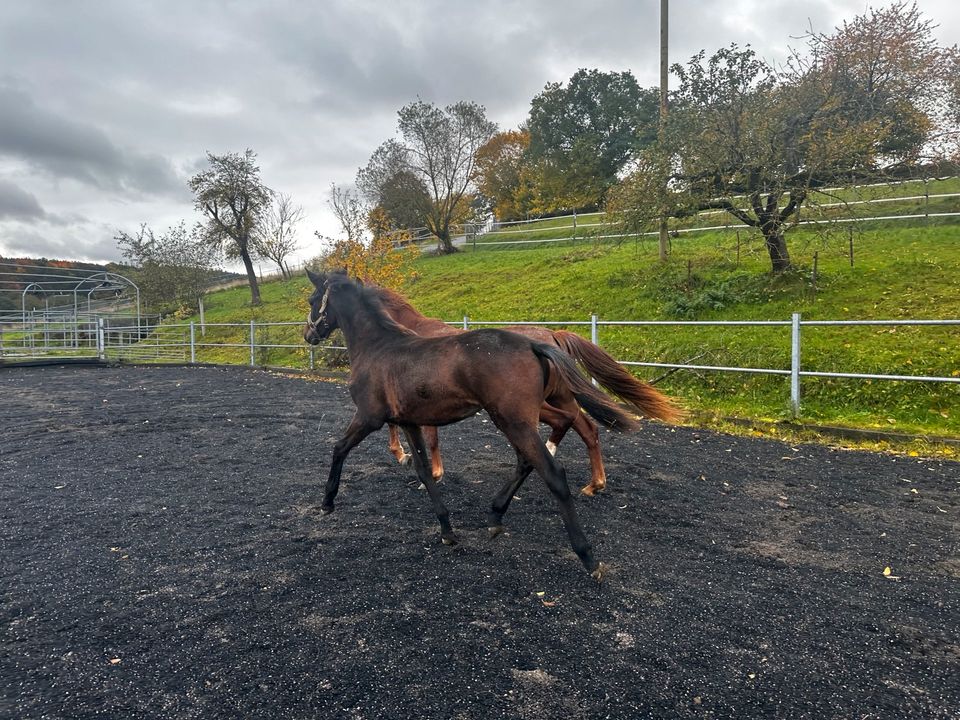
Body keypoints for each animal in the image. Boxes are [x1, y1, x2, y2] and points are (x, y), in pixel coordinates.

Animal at [304, 270, 640, 580]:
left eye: (312, 300)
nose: (308, 335)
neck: (378, 346)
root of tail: (536, 343)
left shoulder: (368, 417)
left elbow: (339, 448)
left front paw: (327, 502)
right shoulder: (409, 422)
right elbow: (423, 469)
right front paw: (446, 529)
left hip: (514, 419)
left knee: (553, 471)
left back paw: (588, 556)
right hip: (520, 416)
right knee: (539, 450)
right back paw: (495, 517)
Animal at [370, 286, 684, 496]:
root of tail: (553, 337)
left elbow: (427, 439)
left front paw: (428, 472)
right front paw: (406, 458)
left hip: (534, 404)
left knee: (572, 425)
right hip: (560, 398)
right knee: (588, 428)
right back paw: (594, 484)